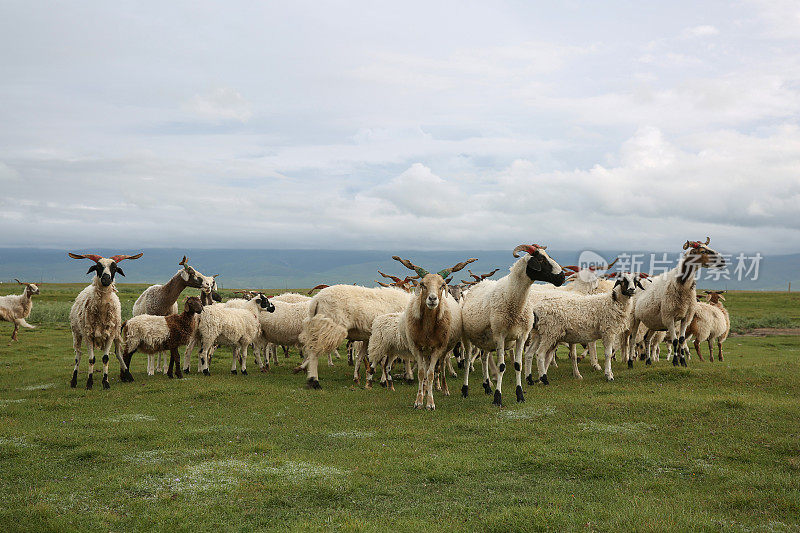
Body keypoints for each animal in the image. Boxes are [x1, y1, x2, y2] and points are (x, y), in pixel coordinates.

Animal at [68, 251, 143, 388]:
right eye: (98, 267)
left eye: (114, 268)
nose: (106, 279)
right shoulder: (88, 335)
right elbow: (91, 359)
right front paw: (89, 383)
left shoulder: (110, 335)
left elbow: (106, 358)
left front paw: (106, 382)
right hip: (76, 333)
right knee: (78, 355)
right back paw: (74, 380)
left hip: (117, 333)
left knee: (119, 354)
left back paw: (128, 375)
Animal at [460, 243, 564, 406]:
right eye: (541, 259)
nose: (562, 277)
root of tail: (477, 285)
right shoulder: (500, 335)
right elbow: (502, 367)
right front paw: (498, 398)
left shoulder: (521, 336)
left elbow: (518, 365)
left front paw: (520, 395)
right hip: (467, 336)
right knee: (466, 361)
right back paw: (465, 390)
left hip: (486, 339)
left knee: (484, 358)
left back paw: (487, 386)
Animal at [632, 237, 724, 366]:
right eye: (703, 251)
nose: (723, 261)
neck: (681, 284)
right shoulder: (669, 317)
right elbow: (675, 341)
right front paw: (675, 361)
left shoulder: (686, 317)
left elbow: (681, 340)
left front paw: (683, 361)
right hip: (636, 318)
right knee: (633, 339)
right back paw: (630, 361)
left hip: (653, 323)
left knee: (647, 339)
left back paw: (649, 361)